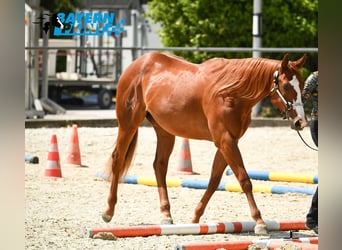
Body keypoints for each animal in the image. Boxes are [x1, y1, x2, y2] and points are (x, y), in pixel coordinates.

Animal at [101, 51, 308, 235]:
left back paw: (166, 215)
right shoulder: (225, 140)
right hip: (128, 124)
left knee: (159, 165)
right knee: (118, 159)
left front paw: (195, 218)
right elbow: (244, 180)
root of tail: (137, 65)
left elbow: (214, 181)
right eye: (286, 86)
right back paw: (108, 211)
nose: (301, 122)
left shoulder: (228, 142)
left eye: (302, 85)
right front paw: (259, 222)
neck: (230, 93)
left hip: (165, 131)